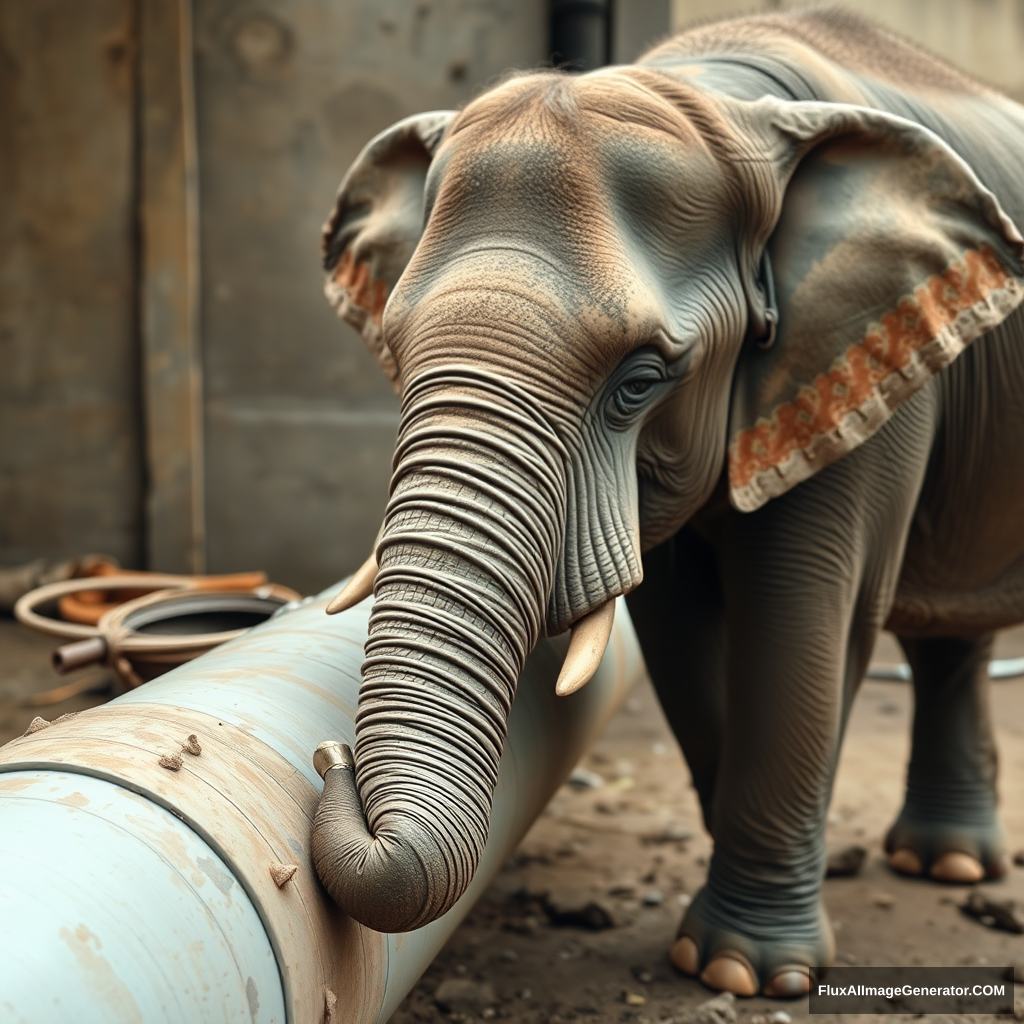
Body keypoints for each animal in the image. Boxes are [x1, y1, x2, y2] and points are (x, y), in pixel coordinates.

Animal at [307, 8, 1024, 999]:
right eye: (397, 344)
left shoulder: (865, 363)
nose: (325, 757)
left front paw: (740, 974)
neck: (719, 93)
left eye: (642, 380)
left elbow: (807, 619)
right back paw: (943, 862)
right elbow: (679, 627)